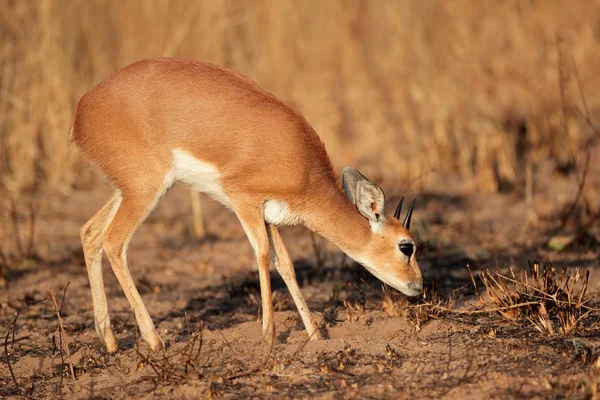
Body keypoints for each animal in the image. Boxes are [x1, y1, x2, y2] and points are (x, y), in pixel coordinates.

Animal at [70, 57, 422, 352]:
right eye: (406, 246)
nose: (418, 286)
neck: (303, 167)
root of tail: (83, 108)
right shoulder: (244, 201)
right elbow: (263, 255)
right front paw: (269, 336)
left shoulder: (268, 214)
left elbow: (286, 265)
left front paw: (315, 335)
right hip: (146, 190)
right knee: (114, 242)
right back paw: (154, 341)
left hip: (129, 190)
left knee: (90, 233)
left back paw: (110, 342)